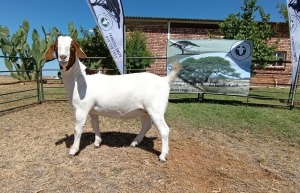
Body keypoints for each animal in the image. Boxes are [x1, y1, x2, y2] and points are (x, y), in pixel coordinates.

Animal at [43, 35, 182, 161]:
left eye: (72, 47)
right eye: (56, 46)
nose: (63, 57)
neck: (77, 77)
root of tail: (165, 80)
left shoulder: (81, 109)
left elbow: (78, 129)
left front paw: (73, 150)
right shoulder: (92, 110)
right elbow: (95, 125)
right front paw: (97, 142)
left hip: (156, 109)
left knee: (164, 130)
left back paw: (163, 156)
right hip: (145, 110)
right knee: (147, 125)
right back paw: (135, 142)